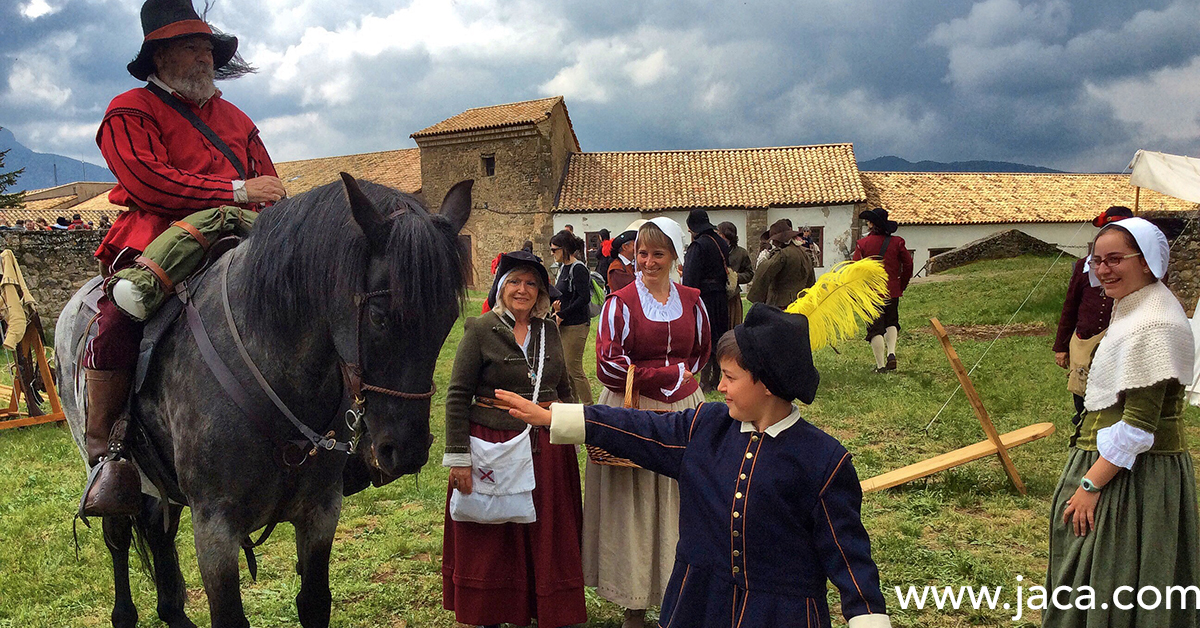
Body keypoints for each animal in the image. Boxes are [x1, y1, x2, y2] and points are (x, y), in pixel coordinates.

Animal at [58, 172, 472, 628]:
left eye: (447, 321)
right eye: (380, 316)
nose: (408, 451)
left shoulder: (320, 513)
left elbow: (314, 602)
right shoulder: (215, 528)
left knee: (156, 529)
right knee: (118, 535)